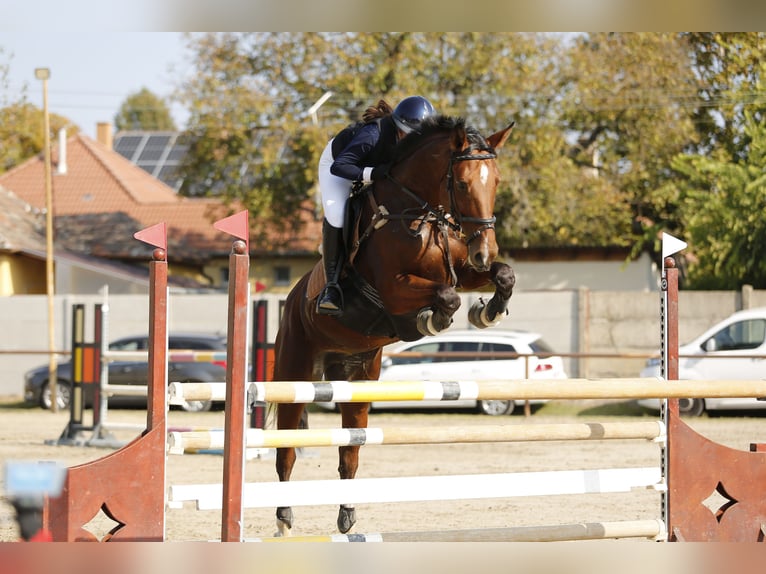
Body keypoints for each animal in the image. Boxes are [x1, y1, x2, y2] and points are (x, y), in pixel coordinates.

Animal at [272, 115, 520, 536]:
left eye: (497, 181)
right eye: (463, 183)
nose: (484, 251)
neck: (418, 212)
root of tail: (291, 299)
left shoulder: (463, 270)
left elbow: (503, 276)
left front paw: (487, 311)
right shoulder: (393, 289)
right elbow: (445, 297)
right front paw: (433, 319)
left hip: (358, 382)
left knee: (349, 451)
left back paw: (347, 516)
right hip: (295, 375)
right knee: (285, 450)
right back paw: (284, 517)